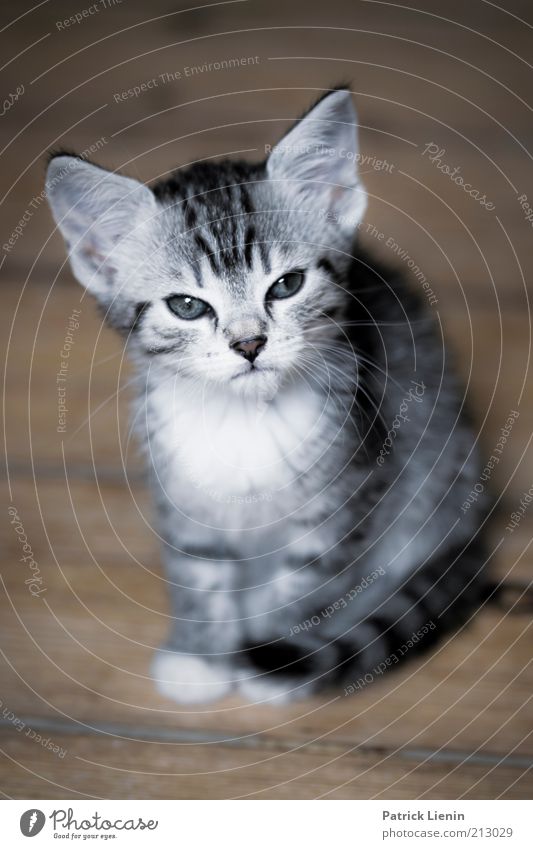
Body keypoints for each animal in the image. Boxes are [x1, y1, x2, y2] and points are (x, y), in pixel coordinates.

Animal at [46, 89, 490, 704]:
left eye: (286, 285)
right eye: (187, 306)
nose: (249, 343)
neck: (244, 423)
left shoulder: (348, 490)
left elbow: (300, 587)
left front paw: (269, 653)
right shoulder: (182, 491)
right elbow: (198, 571)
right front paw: (202, 658)